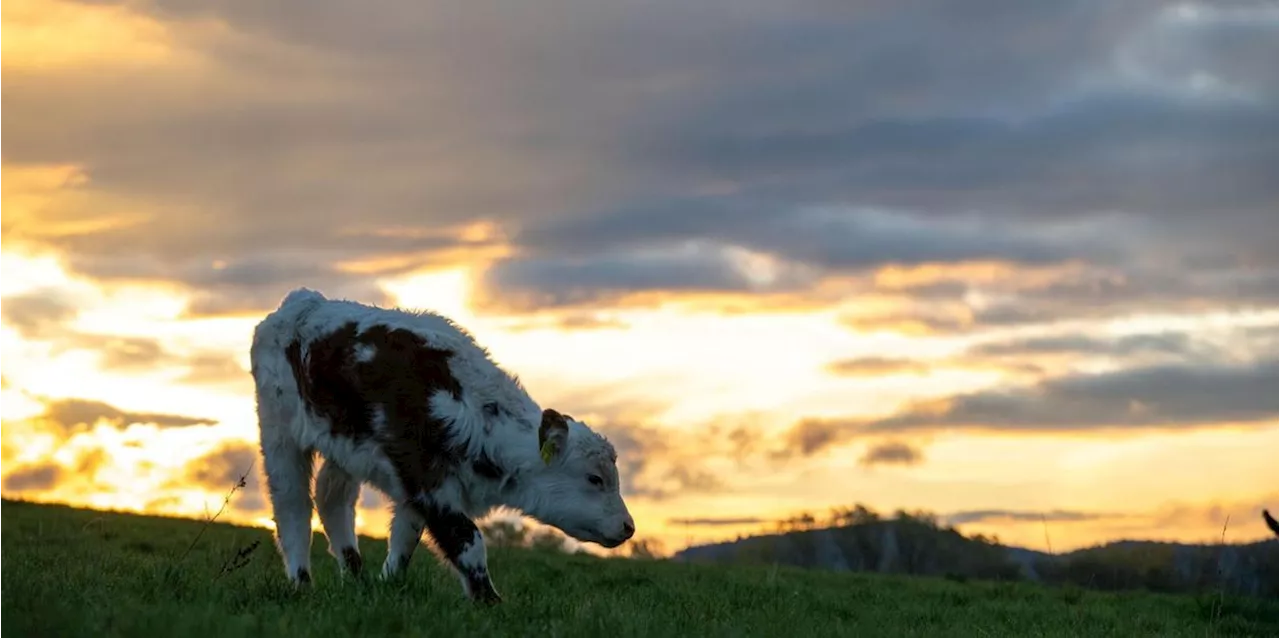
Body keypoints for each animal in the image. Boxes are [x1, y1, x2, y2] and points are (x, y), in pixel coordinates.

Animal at [248, 289, 634, 602]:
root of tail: (302, 301)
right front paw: (490, 601)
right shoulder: (427, 480)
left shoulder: (414, 488)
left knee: (332, 499)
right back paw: (302, 583)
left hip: (343, 448)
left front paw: (388, 585)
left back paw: (356, 578)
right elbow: (467, 540)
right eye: (594, 478)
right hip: (278, 430)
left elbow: (405, 538)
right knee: (292, 507)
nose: (629, 526)